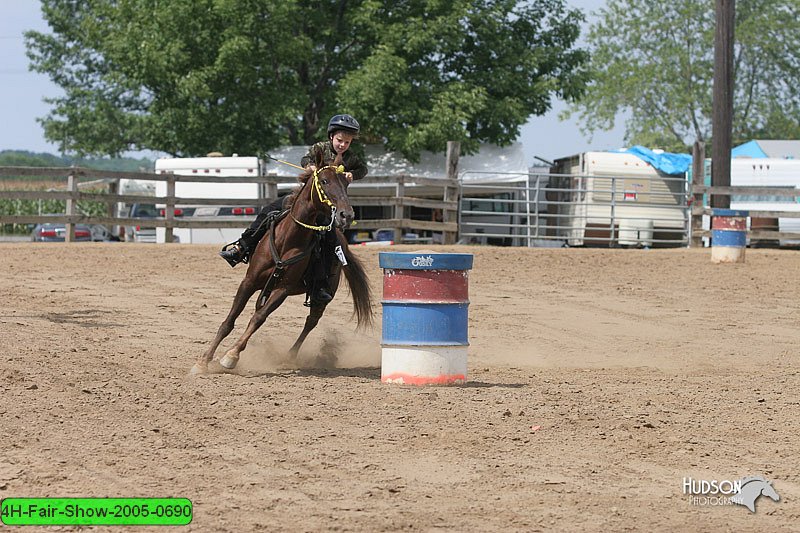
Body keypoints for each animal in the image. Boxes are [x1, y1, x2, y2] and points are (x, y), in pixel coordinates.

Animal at [192, 150, 374, 374]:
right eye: (324, 181)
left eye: (346, 183)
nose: (346, 214)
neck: (288, 239)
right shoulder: (249, 282)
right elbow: (229, 321)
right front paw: (203, 361)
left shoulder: (283, 290)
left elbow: (259, 318)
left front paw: (231, 356)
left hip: (322, 296)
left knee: (310, 322)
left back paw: (290, 355)